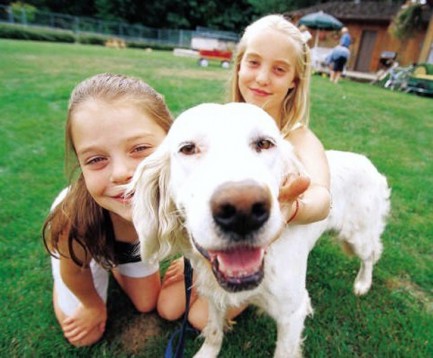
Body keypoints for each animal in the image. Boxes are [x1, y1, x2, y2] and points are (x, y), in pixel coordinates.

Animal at [130, 102, 390, 356]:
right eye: (188, 148)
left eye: (265, 144)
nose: (242, 212)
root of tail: (366, 162)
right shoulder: (213, 294)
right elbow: (214, 332)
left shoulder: (292, 313)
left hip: (357, 236)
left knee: (371, 256)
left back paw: (362, 283)